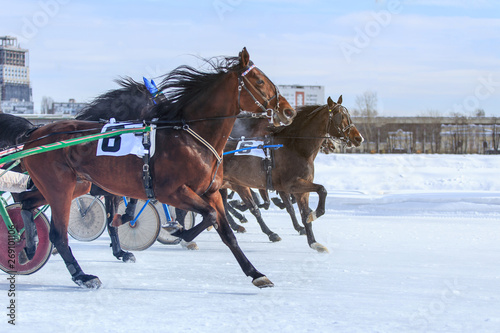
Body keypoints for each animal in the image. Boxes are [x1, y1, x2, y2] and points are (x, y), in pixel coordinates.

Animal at [19, 47, 294, 288]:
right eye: (259, 81)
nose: (288, 111)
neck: (190, 136)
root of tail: (34, 134)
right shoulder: (171, 191)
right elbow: (210, 216)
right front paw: (180, 232)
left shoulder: (211, 192)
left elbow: (225, 231)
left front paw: (255, 273)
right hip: (60, 188)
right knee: (57, 234)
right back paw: (82, 276)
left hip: (74, 185)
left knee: (25, 201)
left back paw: (29, 245)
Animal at [223, 96, 364, 252]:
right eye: (340, 116)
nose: (358, 138)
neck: (295, 148)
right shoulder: (291, 184)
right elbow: (320, 191)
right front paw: (312, 216)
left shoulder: (298, 189)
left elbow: (301, 209)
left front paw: (312, 239)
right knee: (247, 207)